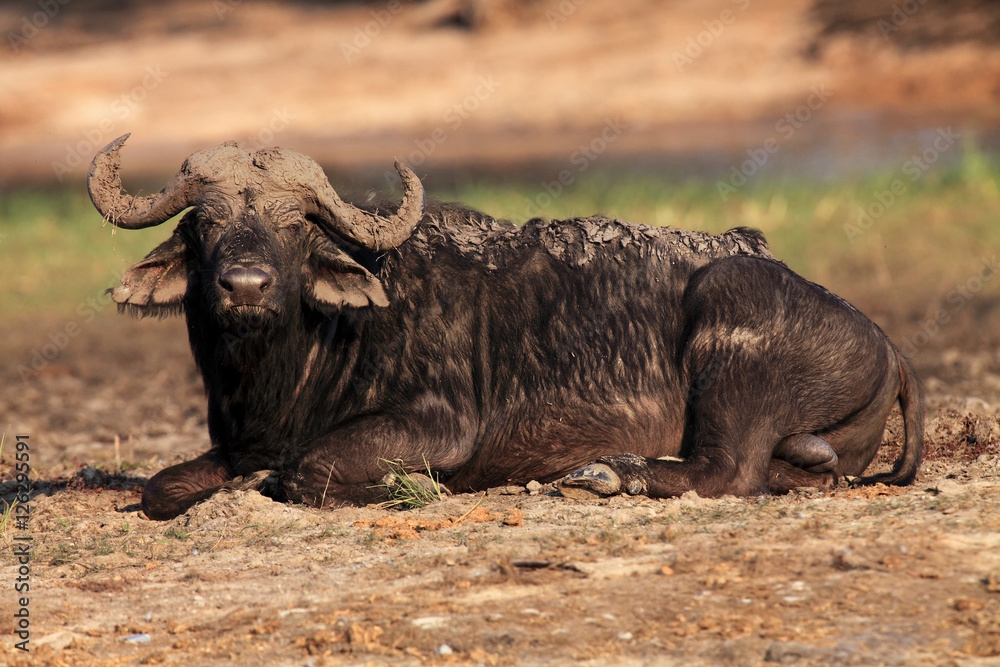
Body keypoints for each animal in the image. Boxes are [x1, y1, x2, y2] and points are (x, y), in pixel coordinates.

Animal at [88, 135, 924, 520]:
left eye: (294, 225)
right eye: (205, 223)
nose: (246, 286)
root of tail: (885, 343)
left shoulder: (437, 424)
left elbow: (303, 472)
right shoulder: (234, 442)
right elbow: (163, 486)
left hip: (728, 321)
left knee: (731, 472)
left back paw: (609, 471)